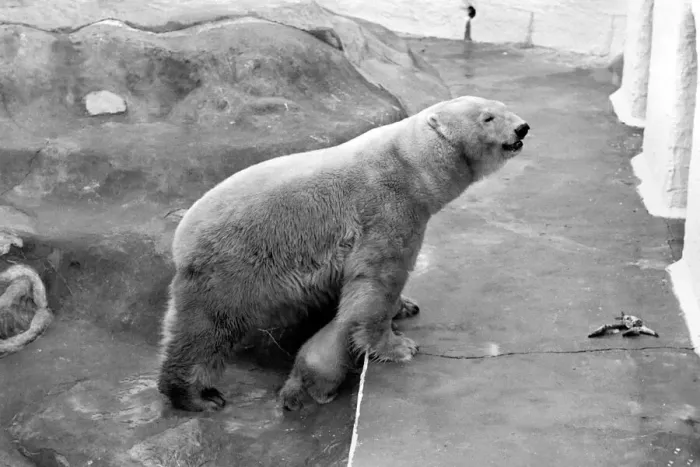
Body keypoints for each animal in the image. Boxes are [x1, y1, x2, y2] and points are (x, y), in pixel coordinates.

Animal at [157, 95, 530, 412]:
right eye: (488, 116)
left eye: (502, 105)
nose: (522, 127)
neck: (410, 163)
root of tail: (180, 239)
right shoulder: (387, 209)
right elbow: (377, 278)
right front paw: (398, 347)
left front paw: (406, 306)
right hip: (230, 267)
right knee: (206, 330)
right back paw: (198, 396)